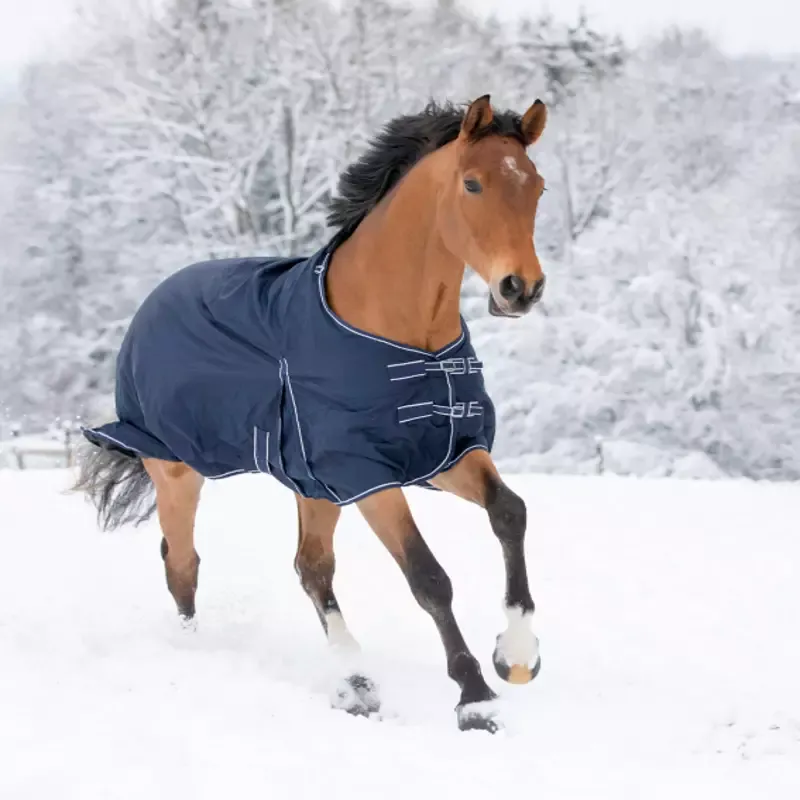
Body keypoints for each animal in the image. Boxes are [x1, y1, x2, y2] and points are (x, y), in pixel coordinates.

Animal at [73, 94, 549, 733]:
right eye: (472, 183)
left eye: (537, 187)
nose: (521, 288)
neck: (406, 334)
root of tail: (153, 301)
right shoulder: (367, 474)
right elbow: (428, 577)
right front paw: (474, 698)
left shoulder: (445, 453)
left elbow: (509, 513)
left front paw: (516, 657)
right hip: (176, 470)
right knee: (183, 563)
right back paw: (208, 655)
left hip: (311, 485)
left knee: (310, 567)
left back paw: (356, 684)